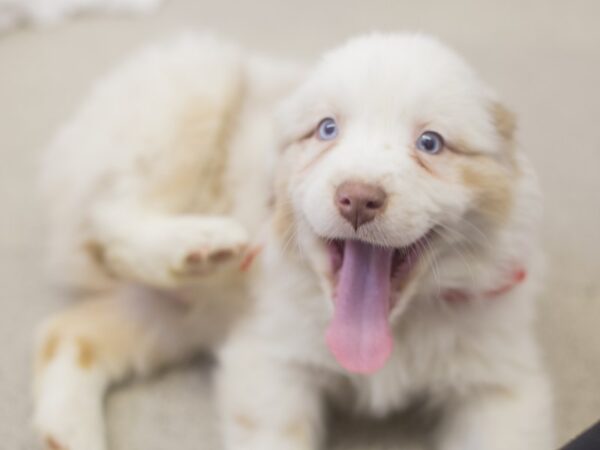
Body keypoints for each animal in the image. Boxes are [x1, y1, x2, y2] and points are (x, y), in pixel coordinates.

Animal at [32, 32, 552, 450]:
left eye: (430, 143)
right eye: (327, 129)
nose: (358, 198)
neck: (394, 333)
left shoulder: (502, 383)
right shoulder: (269, 360)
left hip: (173, 314)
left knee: (68, 334)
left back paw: (69, 434)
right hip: (192, 92)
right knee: (108, 215)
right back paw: (198, 242)